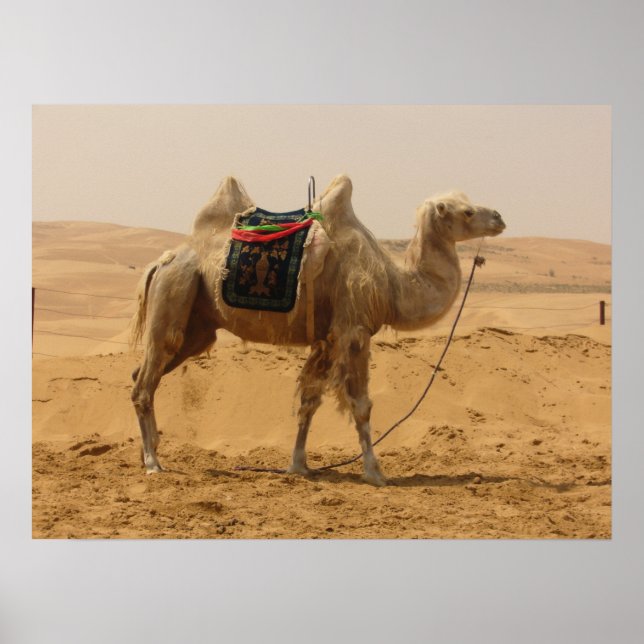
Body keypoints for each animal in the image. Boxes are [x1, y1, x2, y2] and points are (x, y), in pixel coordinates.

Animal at [130, 175, 505, 486]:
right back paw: (152, 463)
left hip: (199, 325)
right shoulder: (354, 330)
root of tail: (160, 262)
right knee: (144, 384)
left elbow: (309, 400)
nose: (499, 217)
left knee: (143, 374)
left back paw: (150, 452)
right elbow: (361, 405)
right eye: (468, 212)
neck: (390, 285)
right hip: (175, 290)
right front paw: (375, 473)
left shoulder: (326, 339)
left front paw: (299, 466)